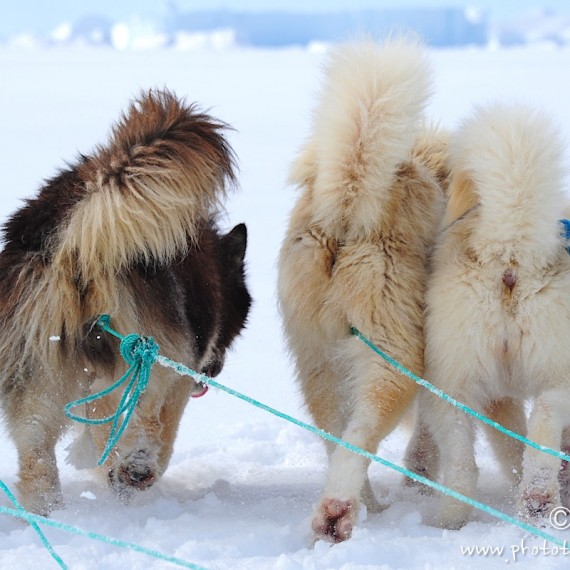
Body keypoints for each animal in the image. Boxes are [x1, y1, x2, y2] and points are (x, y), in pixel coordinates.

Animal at [404, 102, 568, 528]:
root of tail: (509, 249)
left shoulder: (498, 398)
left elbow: (510, 447)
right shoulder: (502, 395)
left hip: (453, 385)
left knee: (467, 464)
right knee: (542, 424)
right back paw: (538, 497)